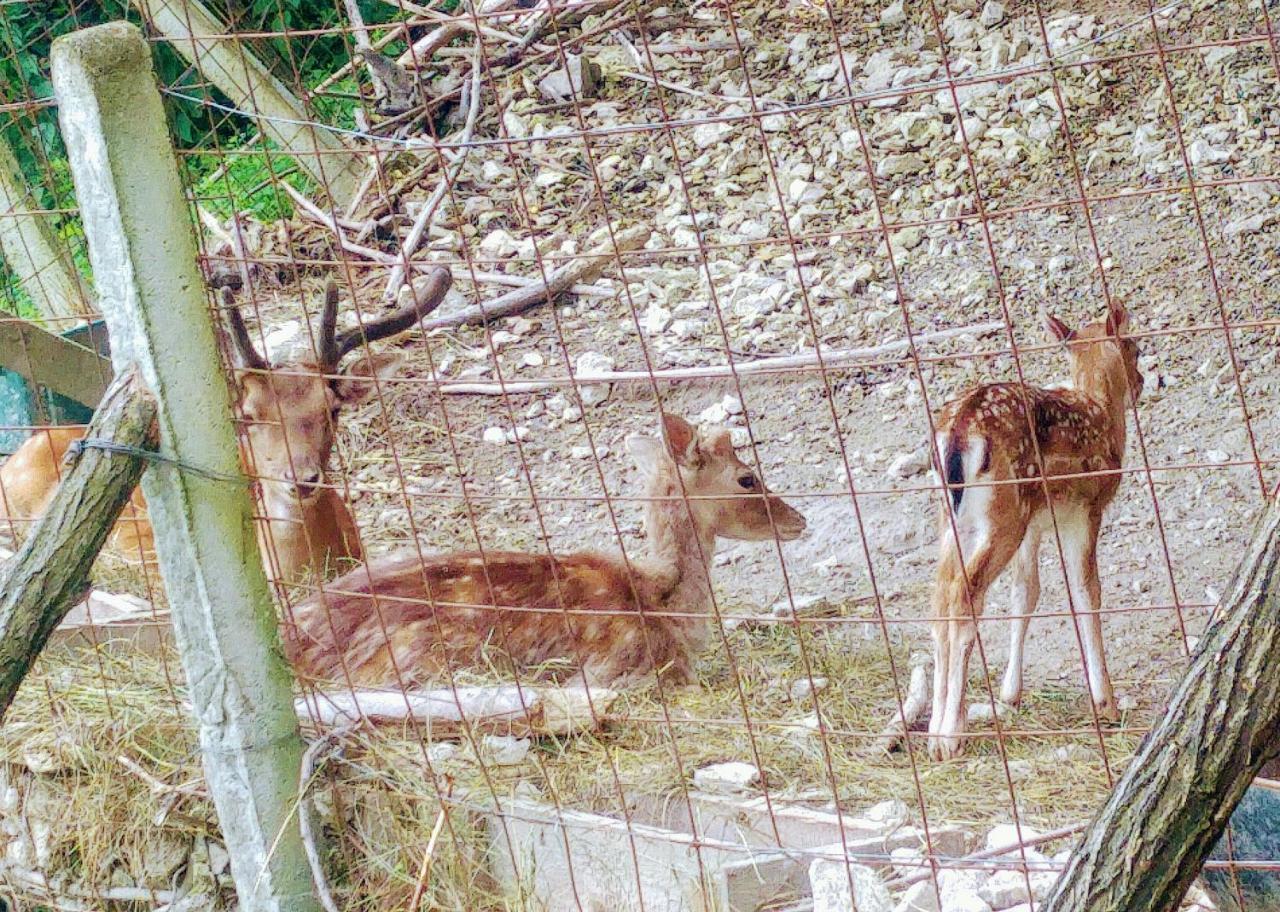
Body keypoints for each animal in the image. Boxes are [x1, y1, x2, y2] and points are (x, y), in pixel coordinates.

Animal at [926, 301, 1146, 763]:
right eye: (1135, 347)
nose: (1143, 383)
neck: (1100, 407)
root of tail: (959, 431)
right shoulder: (1086, 509)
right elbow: (1086, 592)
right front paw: (1106, 701)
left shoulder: (1037, 523)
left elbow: (1025, 594)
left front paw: (1011, 694)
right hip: (1003, 516)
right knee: (964, 594)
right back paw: (950, 735)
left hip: (957, 519)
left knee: (941, 595)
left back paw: (937, 729)